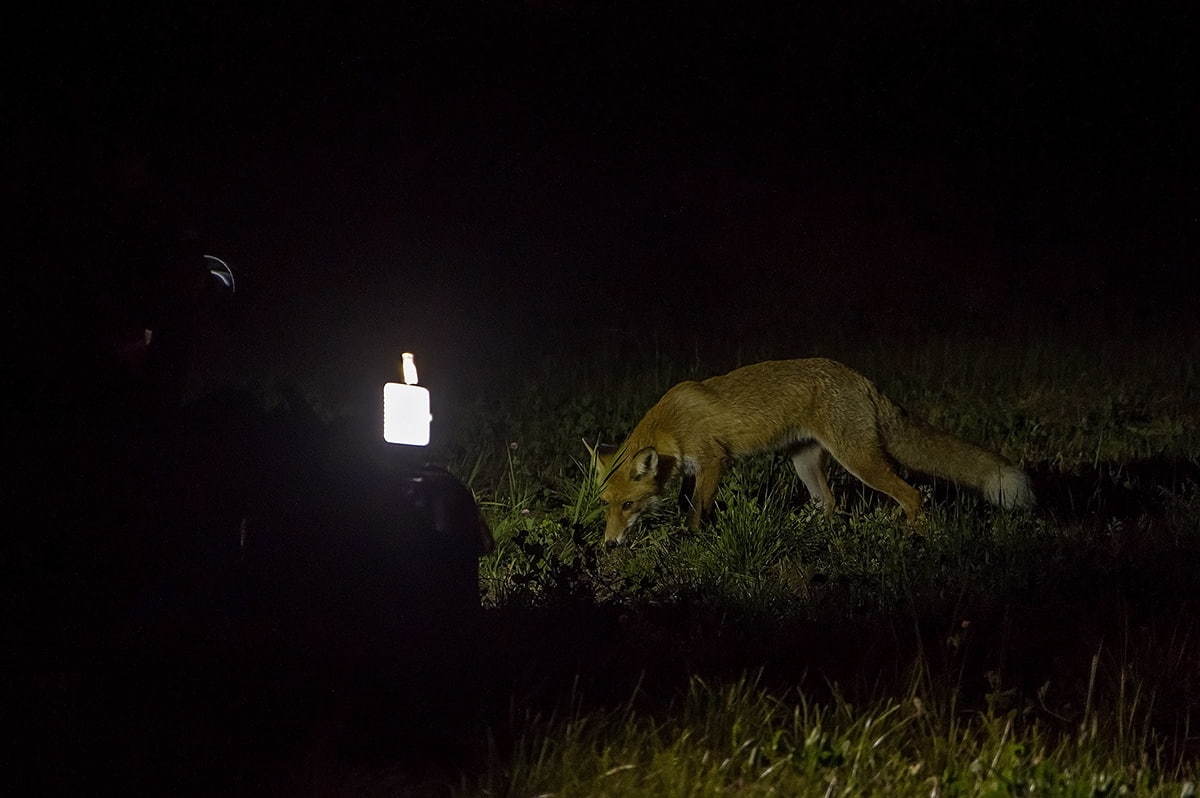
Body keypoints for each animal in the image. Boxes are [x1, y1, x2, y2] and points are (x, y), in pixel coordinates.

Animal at [580, 357, 1032, 544]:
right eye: (605, 504)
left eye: (628, 505)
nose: (609, 545)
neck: (671, 425)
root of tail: (863, 379)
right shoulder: (692, 469)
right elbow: (687, 503)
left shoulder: (713, 461)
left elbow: (696, 511)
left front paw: (690, 540)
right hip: (805, 463)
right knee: (829, 503)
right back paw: (810, 531)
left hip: (859, 460)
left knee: (912, 494)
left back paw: (911, 535)